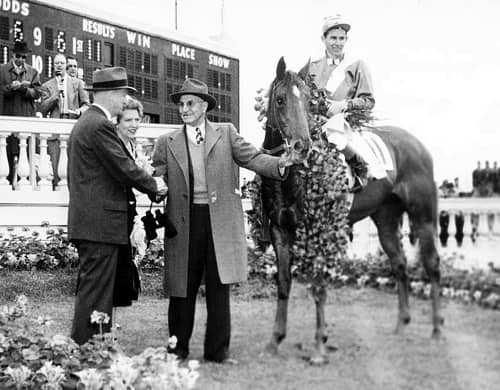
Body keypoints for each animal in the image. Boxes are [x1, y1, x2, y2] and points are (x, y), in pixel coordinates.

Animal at [258, 56, 442, 364]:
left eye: (309, 101)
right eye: (281, 99)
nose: (302, 146)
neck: (292, 175)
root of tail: (417, 145)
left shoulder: (318, 231)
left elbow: (319, 283)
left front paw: (319, 346)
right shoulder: (279, 229)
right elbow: (283, 283)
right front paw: (274, 340)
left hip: (423, 218)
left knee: (431, 265)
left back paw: (438, 329)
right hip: (386, 221)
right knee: (400, 264)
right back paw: (401, 324)